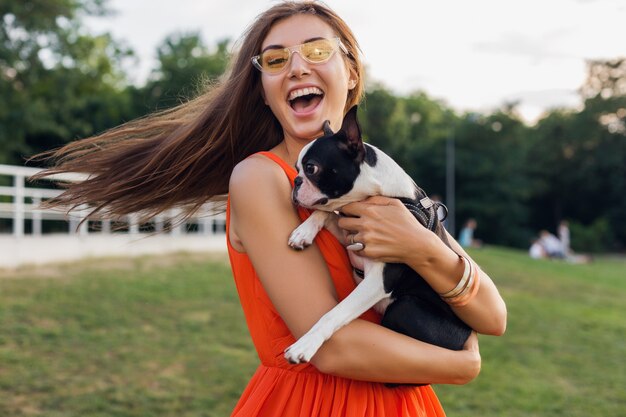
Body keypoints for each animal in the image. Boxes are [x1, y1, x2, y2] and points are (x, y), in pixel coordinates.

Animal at [282, 105, 468, 366]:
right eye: (297, 168)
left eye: (311, 168)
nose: (296, 181)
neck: (377, 193)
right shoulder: (351, 231)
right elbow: (326, 212)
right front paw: (304, 231)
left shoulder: (379, 281)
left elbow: (334, 313)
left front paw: (306, 344)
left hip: (406, 307)